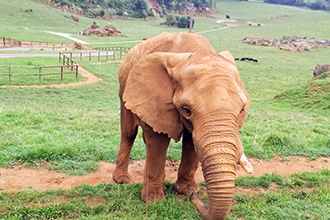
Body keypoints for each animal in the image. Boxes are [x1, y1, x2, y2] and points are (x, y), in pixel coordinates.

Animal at [113, 31, 253, 220]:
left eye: (241, 110)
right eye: (186, 110)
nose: (195, 197)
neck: (197, 54)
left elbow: (191, 142)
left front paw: (186, 191)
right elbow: (158, 141)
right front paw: (155, 201)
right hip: (124, 89)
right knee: (128, 133)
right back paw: (121, 181)